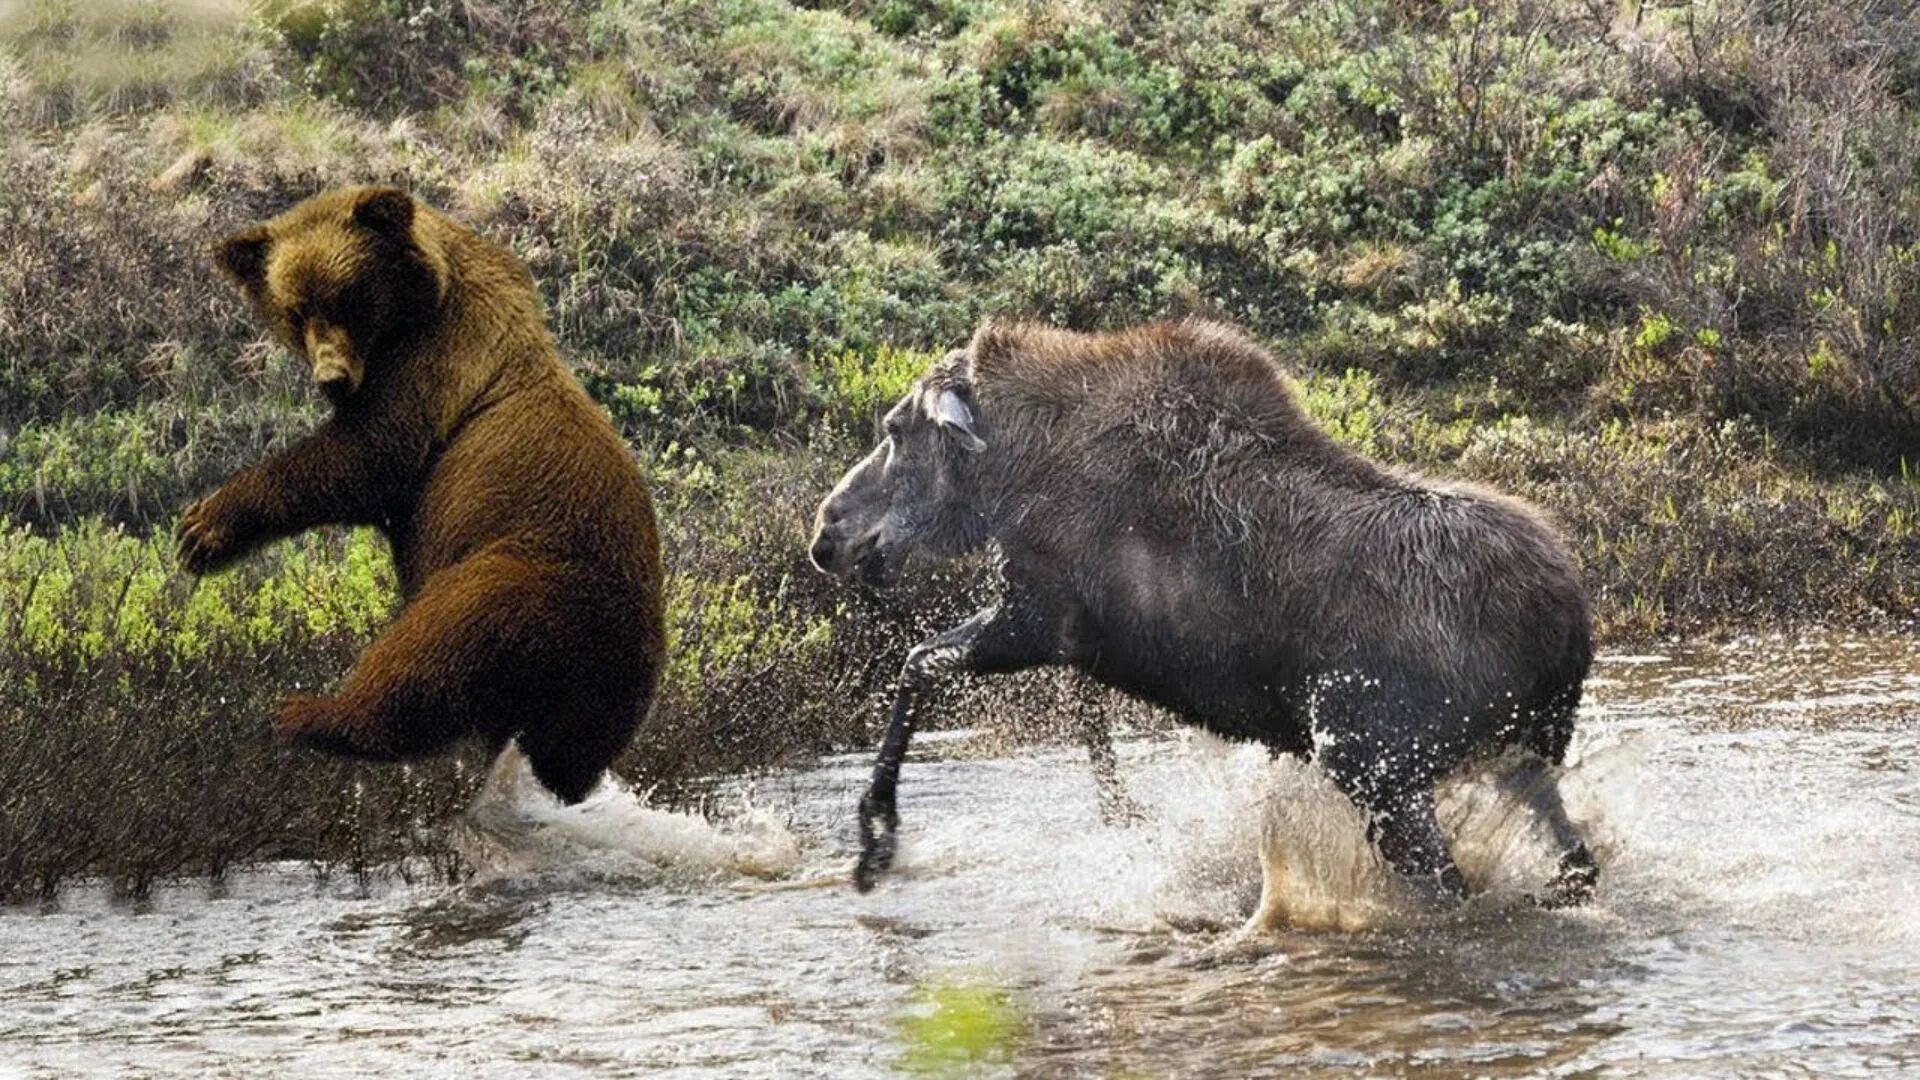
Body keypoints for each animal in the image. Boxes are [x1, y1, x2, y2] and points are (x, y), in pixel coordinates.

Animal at [181, 184, 660, 799]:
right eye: (296, 310)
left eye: (350, 297)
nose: (331, 379)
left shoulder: (432, 365)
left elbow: (363, 457)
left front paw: (201, 530)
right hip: (596, 702)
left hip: (526, 580)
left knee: (433, 646)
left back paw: (310, 714)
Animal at [814, 320, 1605, 907]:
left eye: (896, 429)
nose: (828, 530)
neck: (1013, 472)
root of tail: (1565, 627)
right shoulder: (1076, 638)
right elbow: (1087, 727)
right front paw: (1124, 817)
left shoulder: (1036, 615)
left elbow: (919, 663)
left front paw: (876, 835)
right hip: (1524, 751)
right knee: (1576, 865)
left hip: (1376, 762)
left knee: (1452, 884)